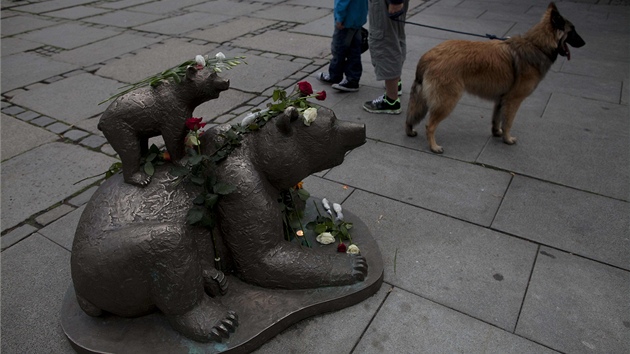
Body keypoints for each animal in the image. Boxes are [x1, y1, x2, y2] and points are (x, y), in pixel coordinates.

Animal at [408, 2, 584, 153]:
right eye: (573, 31)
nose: (584, 43)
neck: (537, 45)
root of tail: (428, 56)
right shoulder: (514, 100)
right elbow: (508, 122)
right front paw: (507, 139)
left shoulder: (501, 99)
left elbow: (497, 119)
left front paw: (497, 132)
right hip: (447, 101)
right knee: (429, 125)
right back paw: (434, 146)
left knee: (410, 116)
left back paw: (410, 131)